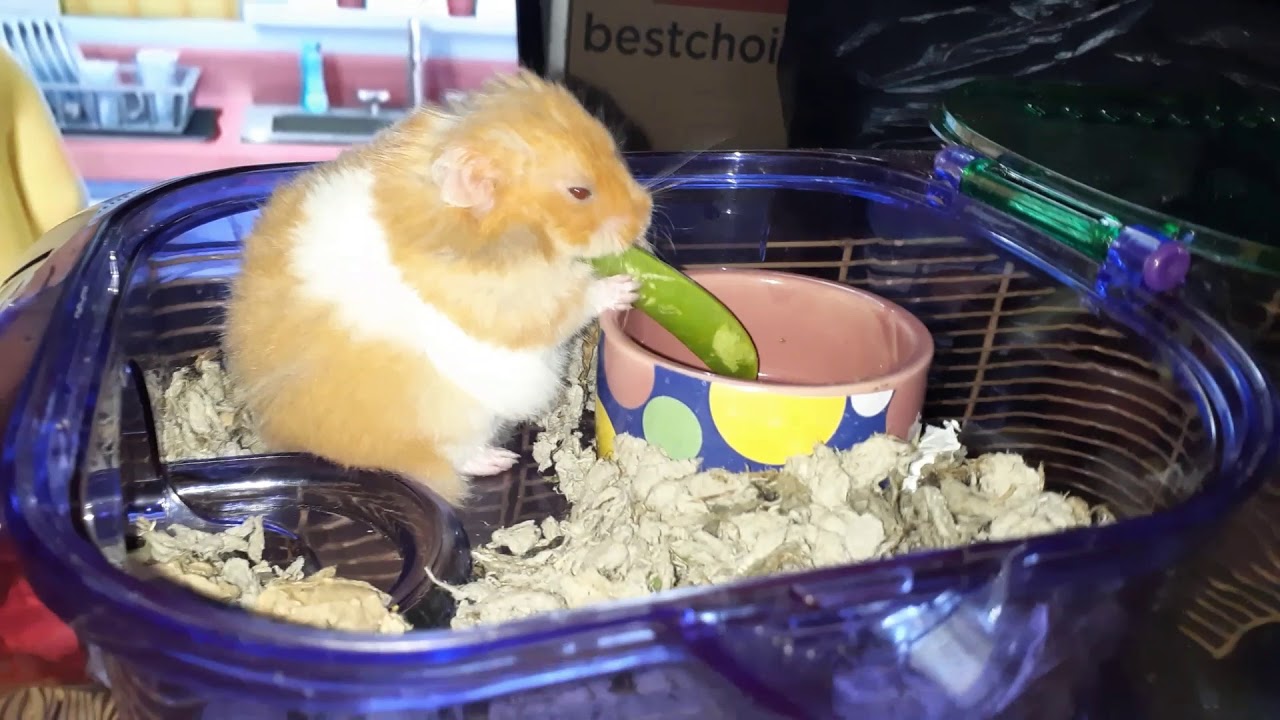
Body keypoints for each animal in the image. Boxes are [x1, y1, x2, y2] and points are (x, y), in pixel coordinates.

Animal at [222, 69, 654, 506]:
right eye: (579, 192)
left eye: (615, 152)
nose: (646, 215)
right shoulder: (511, 304)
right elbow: (570, 303)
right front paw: (625, 286)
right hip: (456, 418)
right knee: (456, 456)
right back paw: (499, 460)